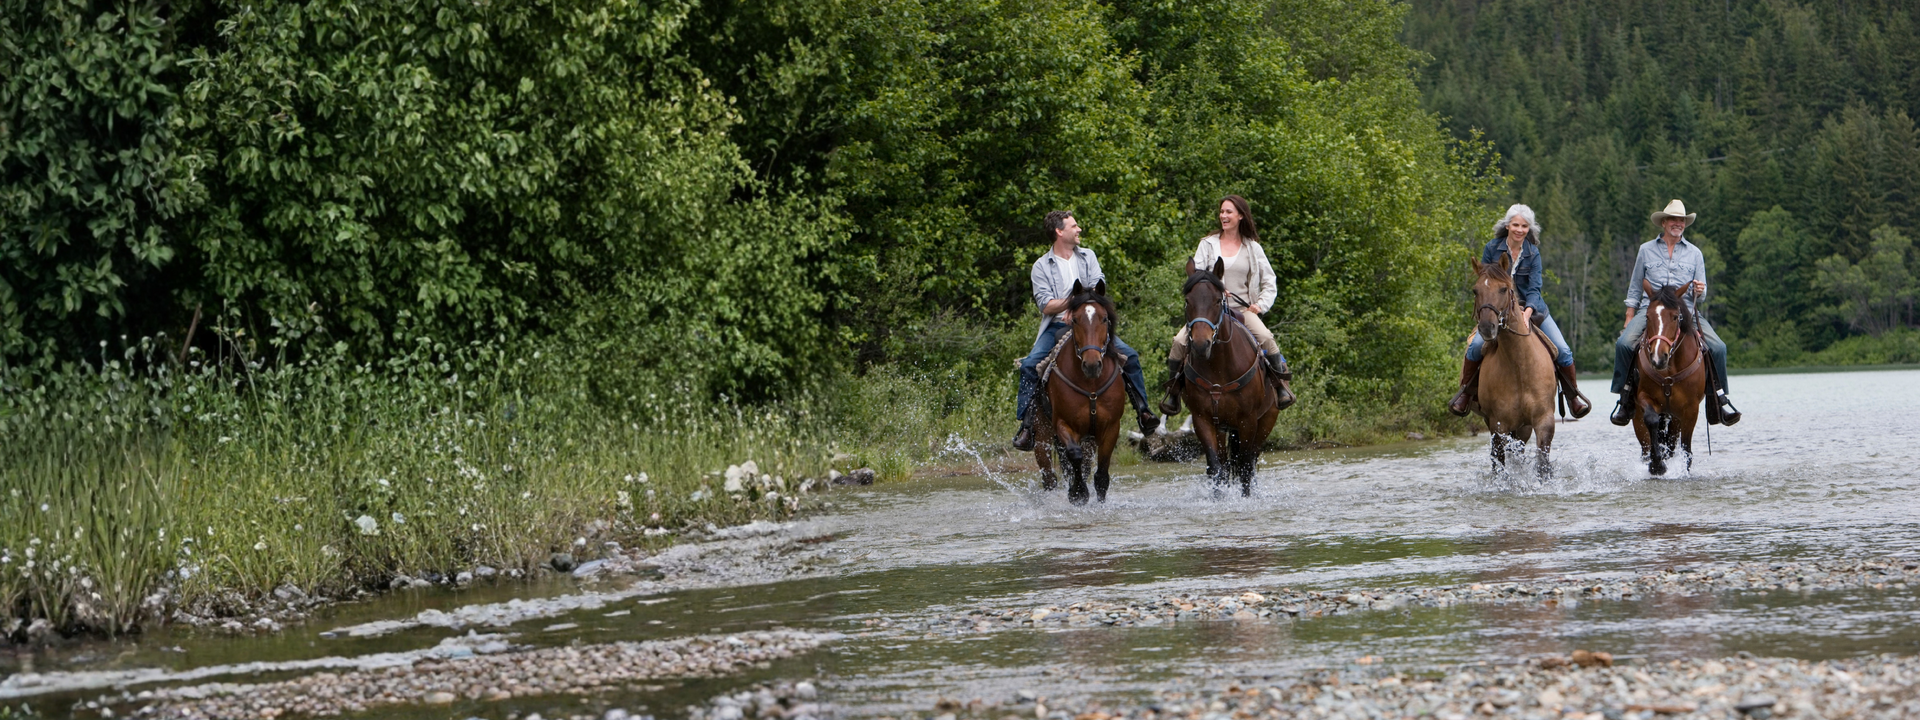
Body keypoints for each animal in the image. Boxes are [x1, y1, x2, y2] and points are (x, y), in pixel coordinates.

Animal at [1029, 279, 1128, 504]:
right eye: (1074, 319)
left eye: (1104, 318)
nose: (1092, 365)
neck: (1090, 385)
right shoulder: (1063, 424)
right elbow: (1074, 455)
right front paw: (1078, 493)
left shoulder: (1111, 427)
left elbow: (1101, 475)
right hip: (1042, 438)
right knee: (1050, 477)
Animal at [1177, 258, 1280, 497]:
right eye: (1187, 300)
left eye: (1217, 300)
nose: (1200, 344)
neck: (1220, 368)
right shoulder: (1203, 419)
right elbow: (1216, 467)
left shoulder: (1248, 420)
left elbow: (1244, 466)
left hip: (1266, 421)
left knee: (1250, 461)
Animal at [1468, 256, 1558, 477]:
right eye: (1475, 290)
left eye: (1503, 289)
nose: (1486, 327)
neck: (1519, 366)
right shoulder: (1498, 425)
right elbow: (1499, 466)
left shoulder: (1544, 420)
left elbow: (1542, 465)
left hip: (1523, 428)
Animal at [1632, 281, 1707, 476]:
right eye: (1648, 316)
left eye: (1674, 317)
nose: (1658, 358)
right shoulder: (1644, 397)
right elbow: (1651, 420)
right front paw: (1656, 465)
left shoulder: (1691, 409)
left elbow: (1686, 449)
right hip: (1638, 419)